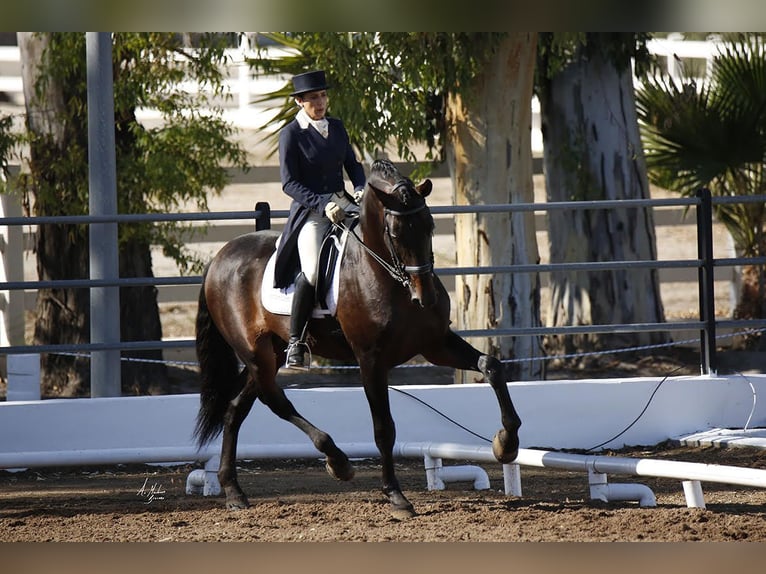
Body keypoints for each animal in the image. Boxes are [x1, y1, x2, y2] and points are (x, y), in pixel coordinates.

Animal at [195, 159, 524, 520]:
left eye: (430, 226)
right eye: (395, 232)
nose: (424, 298)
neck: (387, 277)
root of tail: (220, 257)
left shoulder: (435, 345)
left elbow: (491, 366)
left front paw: (506, 444)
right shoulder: (370, 360)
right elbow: (384, 428)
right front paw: (396, 496)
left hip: (273, 351)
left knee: (236, 408)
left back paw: (233, 490)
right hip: (256, 353)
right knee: (274, 401)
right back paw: (337, 461)